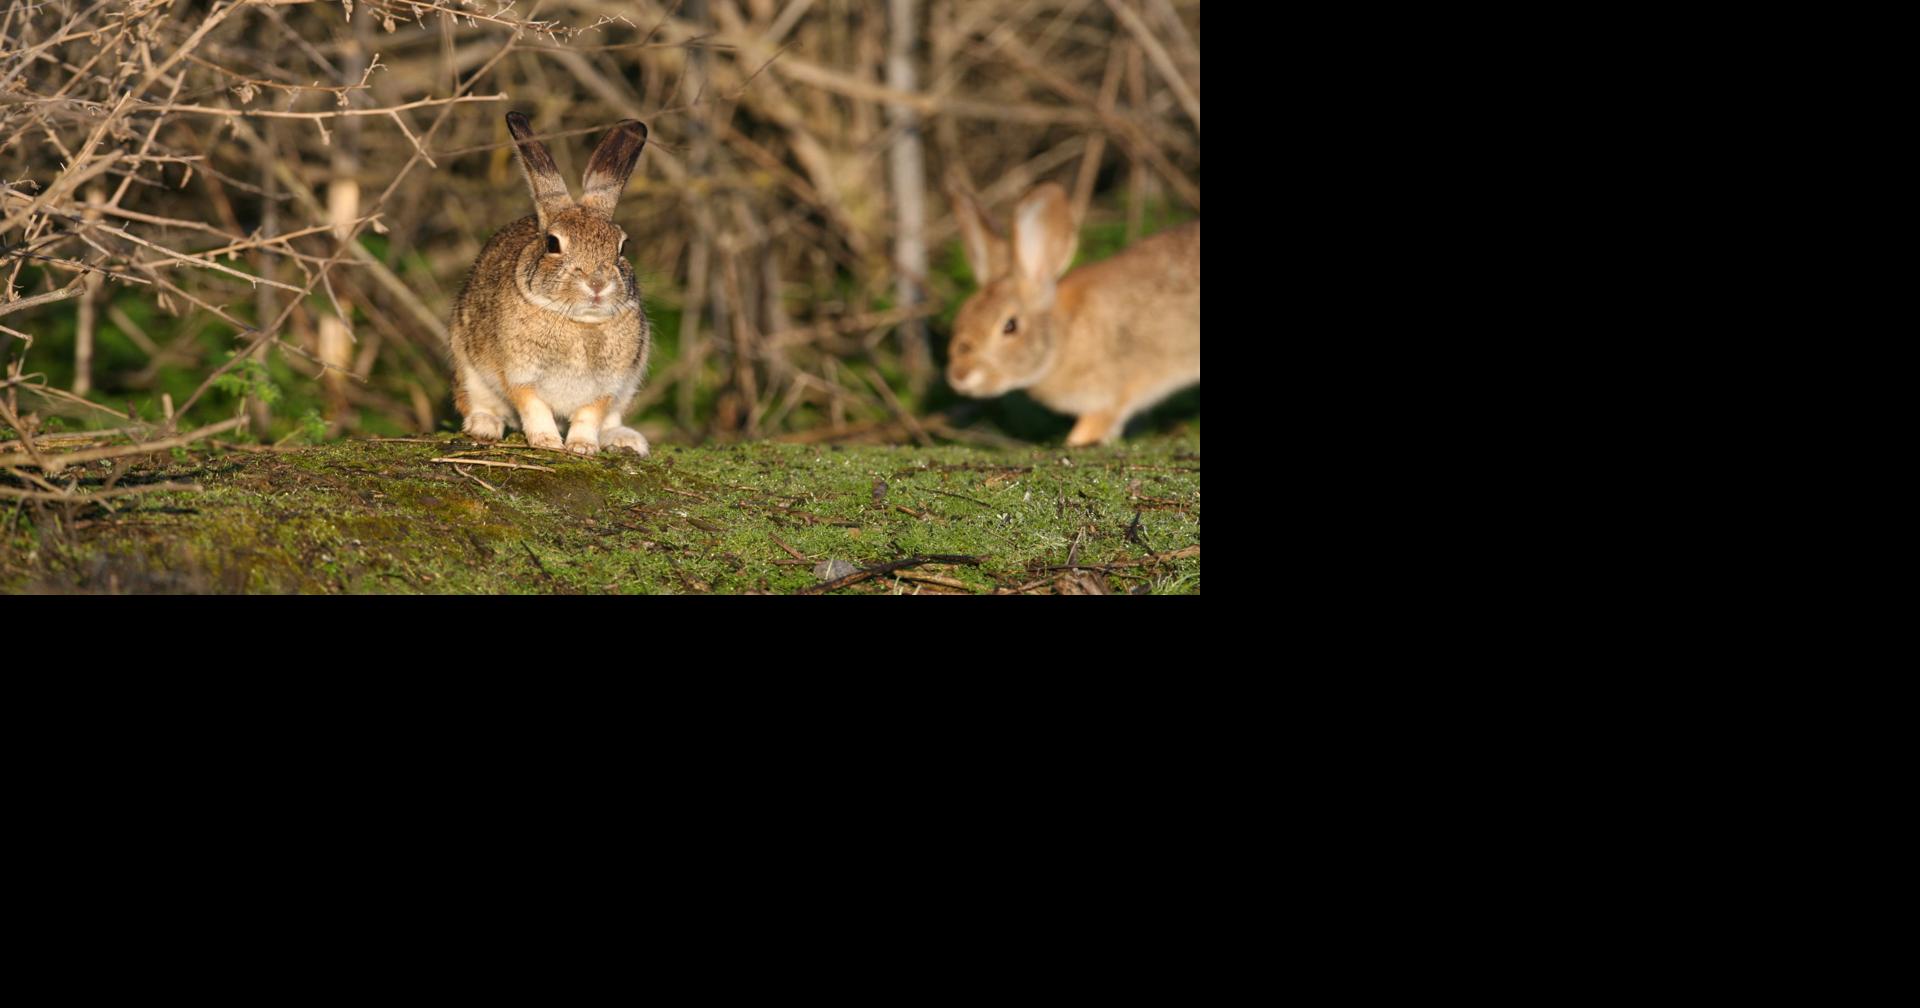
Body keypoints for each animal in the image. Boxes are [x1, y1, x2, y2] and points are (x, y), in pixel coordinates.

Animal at [448, 111, 652, 456]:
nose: (597, 283)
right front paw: (547, 442)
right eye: (553, 244)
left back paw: (625, 439)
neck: (579, 322)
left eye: (622, 247)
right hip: (467, 364)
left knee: (611, 420)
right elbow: (534, 407)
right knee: (476, 401)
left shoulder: (608, 387)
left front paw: (582, 447)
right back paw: (484, 426)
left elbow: (589, 415)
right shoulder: (519, 375)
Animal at [945, 175, 1199, 447]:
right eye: (963, 314)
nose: (960, 375)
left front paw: (1075, 442)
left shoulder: (1108, 396)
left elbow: (1091, 428)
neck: (1062, 338)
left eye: (1010, 326)